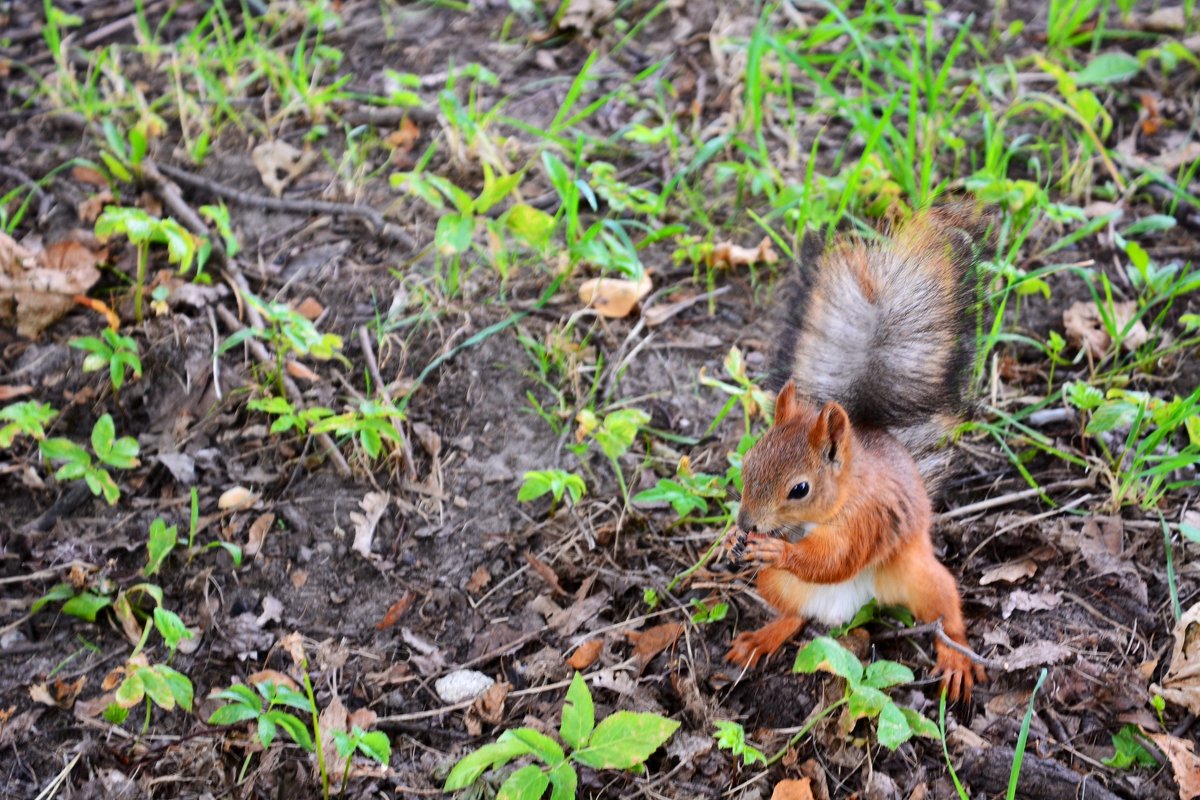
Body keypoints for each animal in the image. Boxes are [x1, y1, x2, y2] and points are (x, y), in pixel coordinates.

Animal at [724, 205, 988, 700]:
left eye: (800, 489)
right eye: (746, 464)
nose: (747, 523)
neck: (842, 494)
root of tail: (846, 609)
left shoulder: (869, 517)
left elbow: (833, 559)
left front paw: (779, 549)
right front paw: (732, 538)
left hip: (916, 575)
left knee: (945, 607)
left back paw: (956, 658)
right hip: (778, 588)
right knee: (794, 615)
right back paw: (762, 637)